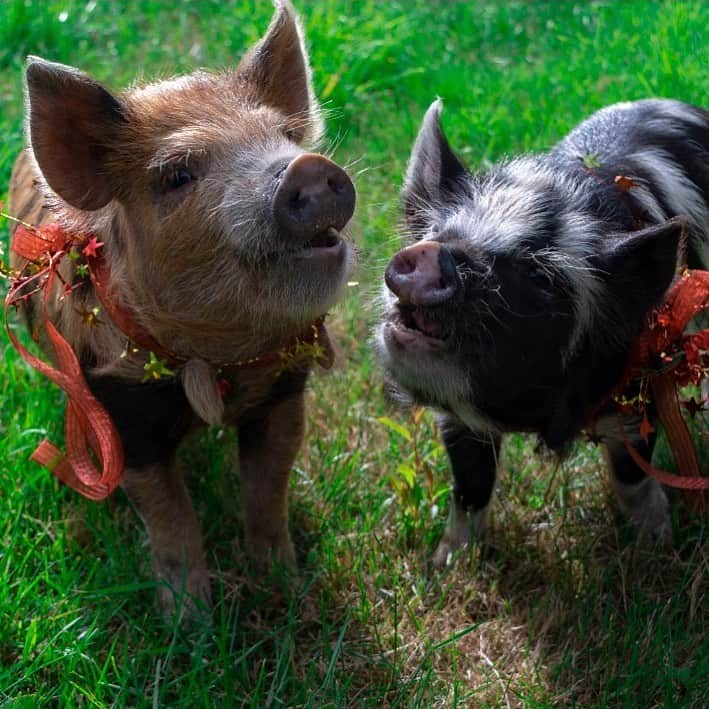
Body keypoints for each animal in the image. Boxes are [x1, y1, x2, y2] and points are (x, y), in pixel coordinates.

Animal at [378, 99, 708, 564]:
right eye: (437, 233)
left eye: (541, 278)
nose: (430, 253)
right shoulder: (459, 423)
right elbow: (470, 487)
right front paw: (446, 563)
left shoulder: (643, 382)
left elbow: (632, 474)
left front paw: (655, 546)